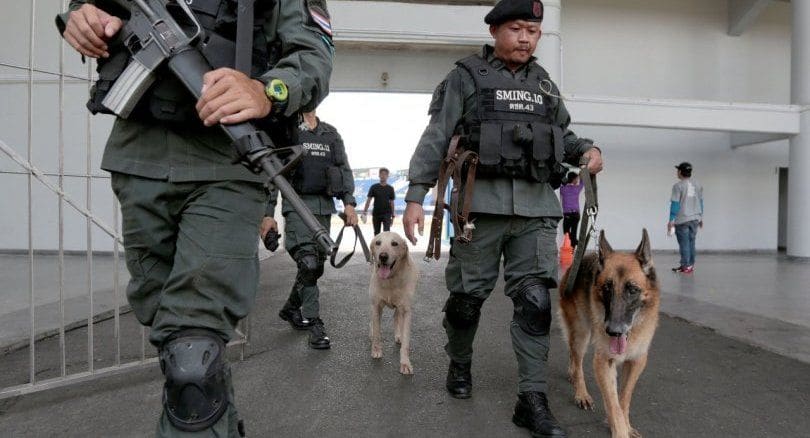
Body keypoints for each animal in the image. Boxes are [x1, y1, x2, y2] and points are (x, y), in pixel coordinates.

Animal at [368, 231, 416, 374]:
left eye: (394, 243)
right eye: (378, 243)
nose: (383, 256)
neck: (390, 280)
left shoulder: (406, 310)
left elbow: (406, 342)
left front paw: (405, 363)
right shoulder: (376, 306)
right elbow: (377, 332)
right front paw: (376, 350)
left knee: (396, 317)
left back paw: (398, 335)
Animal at [560, 229, 660, 438]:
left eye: (632, 289)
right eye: (607, 288)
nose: (613, 331)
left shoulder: (637, 361)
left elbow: (623, 398)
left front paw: (625, 425)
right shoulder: (603, 362)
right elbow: (613, 403)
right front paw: (619, 429)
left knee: (572, 353)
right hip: (582, 334)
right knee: (577, 359)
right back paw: (581, 393)